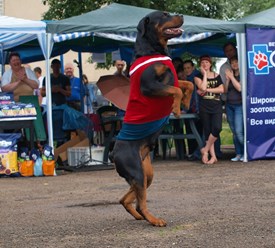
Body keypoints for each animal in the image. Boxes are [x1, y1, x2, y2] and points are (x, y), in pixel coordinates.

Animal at [110, 10, 194, 227]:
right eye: (164, 15)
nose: (181, 15)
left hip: (147, 172)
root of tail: (113, 154)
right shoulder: (149, 86)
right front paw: (176, 108)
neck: (153, 50)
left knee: (126, 198)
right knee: (141, 202)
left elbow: (187, 84)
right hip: (137, 170)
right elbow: (176, 89)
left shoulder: (173, 77)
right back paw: (154, 220)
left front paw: (186, 101)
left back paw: (139, 215)